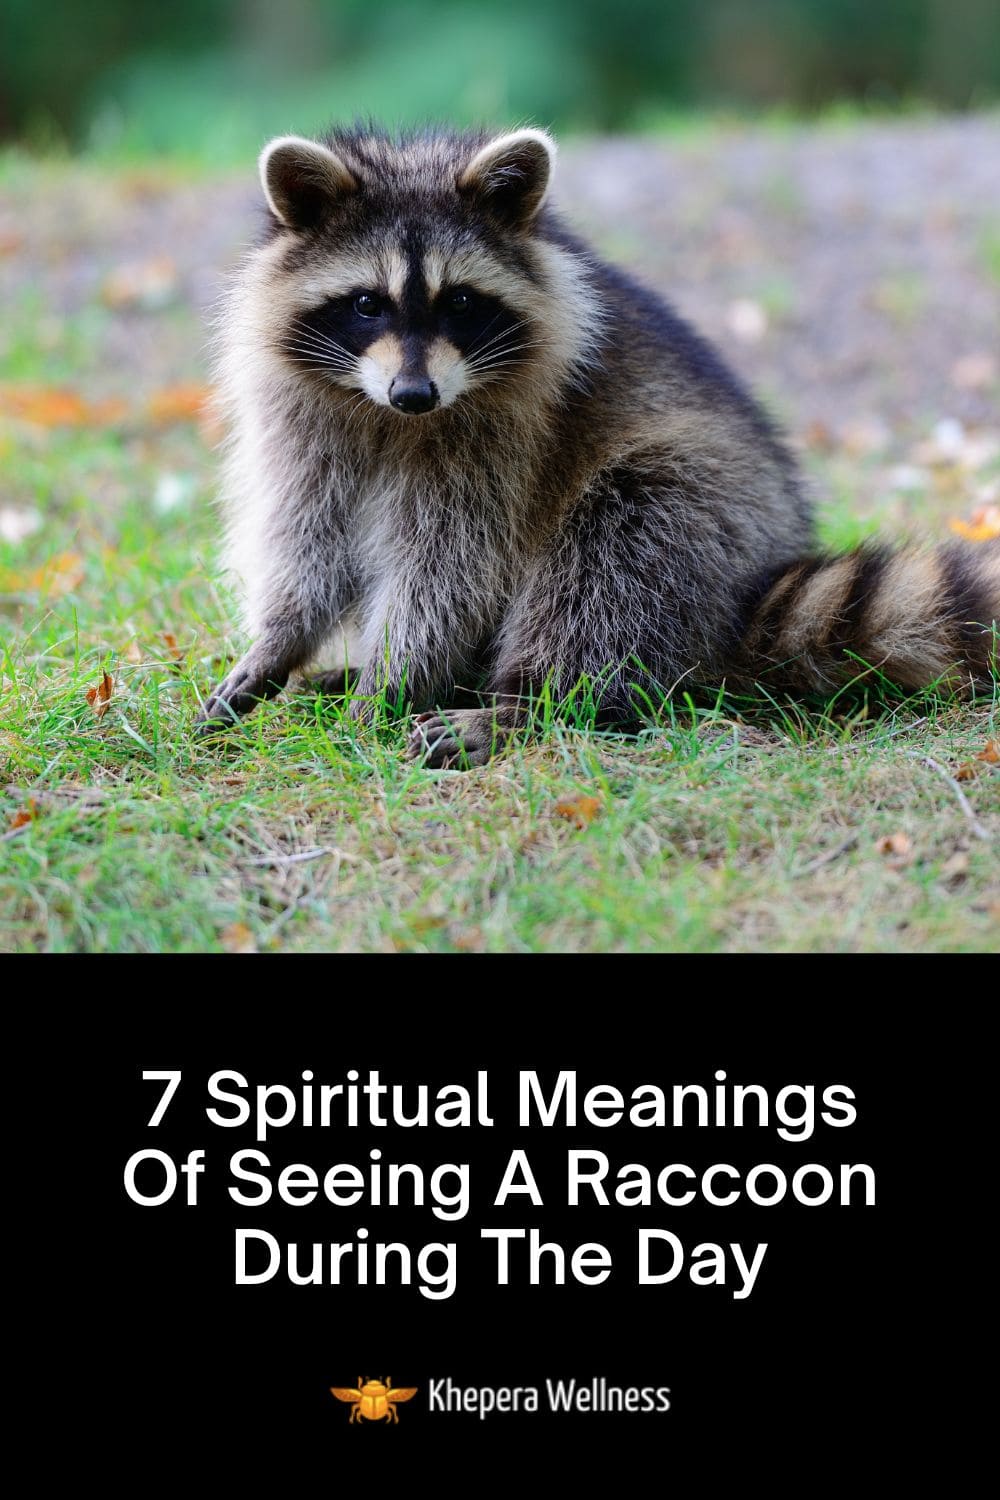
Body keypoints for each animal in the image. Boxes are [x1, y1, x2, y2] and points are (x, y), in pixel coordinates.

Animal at [198, 124, 999, 765]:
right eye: (367, 303)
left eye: (460, 301)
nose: (416, 394)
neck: (388, 416)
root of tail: (752, 586)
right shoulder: (304, 419)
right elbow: (308, 538)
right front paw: (279, 644)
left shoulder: (504, 439)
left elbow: (450, 569)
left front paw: (393, 682)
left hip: (705, 507)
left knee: (613, 559)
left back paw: (522, 706)